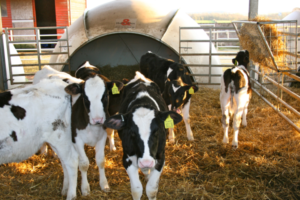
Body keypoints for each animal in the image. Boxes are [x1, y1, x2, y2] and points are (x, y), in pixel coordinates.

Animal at [104, 72, 182, 200]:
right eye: (132, 132)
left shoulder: (160, 157)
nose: (146, 162)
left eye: (157, 131)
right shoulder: (127, 158)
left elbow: (151, 189)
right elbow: (136, 190)